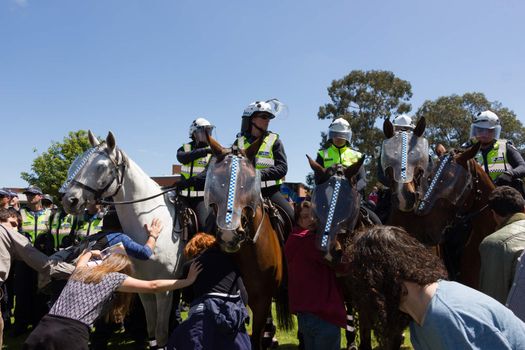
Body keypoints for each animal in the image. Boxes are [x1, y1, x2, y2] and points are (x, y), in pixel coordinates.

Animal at [60, 131, 183, 348]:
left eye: (101, 167)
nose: (69, 200)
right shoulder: (146, 288)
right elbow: (151, 328)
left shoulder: (165, 290)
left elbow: (161, 333)